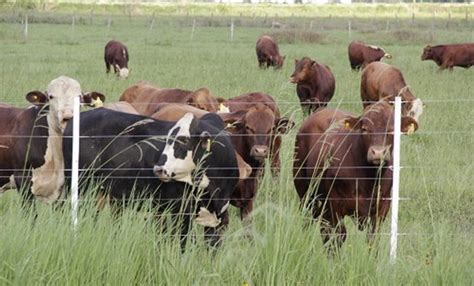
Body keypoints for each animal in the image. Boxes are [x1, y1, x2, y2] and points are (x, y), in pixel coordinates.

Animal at [62, 109, 239, 248]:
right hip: (81, 188)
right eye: (166, 139)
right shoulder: (180, 211)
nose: (158, 169)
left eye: (184, 140)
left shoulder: (217, 217)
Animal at [292, 101, 418, 247]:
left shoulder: (382, 207)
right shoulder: (335, 205)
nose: (378, 153)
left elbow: (372, 239)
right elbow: (339, 236)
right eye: (364, 128)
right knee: (309, 220)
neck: (369, 178)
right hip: (304, 191)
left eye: (392, 130)